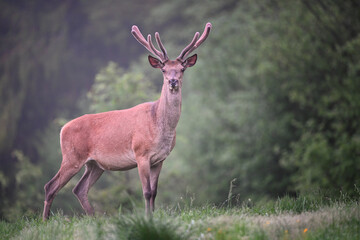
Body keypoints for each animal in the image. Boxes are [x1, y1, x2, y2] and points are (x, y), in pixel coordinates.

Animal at [42, 22, 212, 219]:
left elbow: (155, 192)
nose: (173, 81)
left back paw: (95, 217)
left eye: (182, 69)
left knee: (79, 189)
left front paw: (153, 215)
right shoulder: (141, 153)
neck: (158, 125)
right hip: (71, 156)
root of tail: (62, 129)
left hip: (95, 164)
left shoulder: (160, 159)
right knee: (50, 186)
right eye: (163, 70)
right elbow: (146, 191)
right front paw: (147, 217)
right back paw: (45, 221)